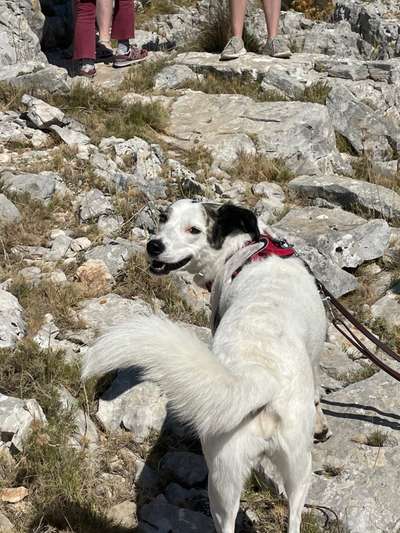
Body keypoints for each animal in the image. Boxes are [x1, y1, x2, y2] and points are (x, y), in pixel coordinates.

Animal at [82, 198, 328, 532]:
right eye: (164, 218)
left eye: (194, 229)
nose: (154, 245)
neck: (248, 249)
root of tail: (259, 377)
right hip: (271, 471)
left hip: (243, 473)